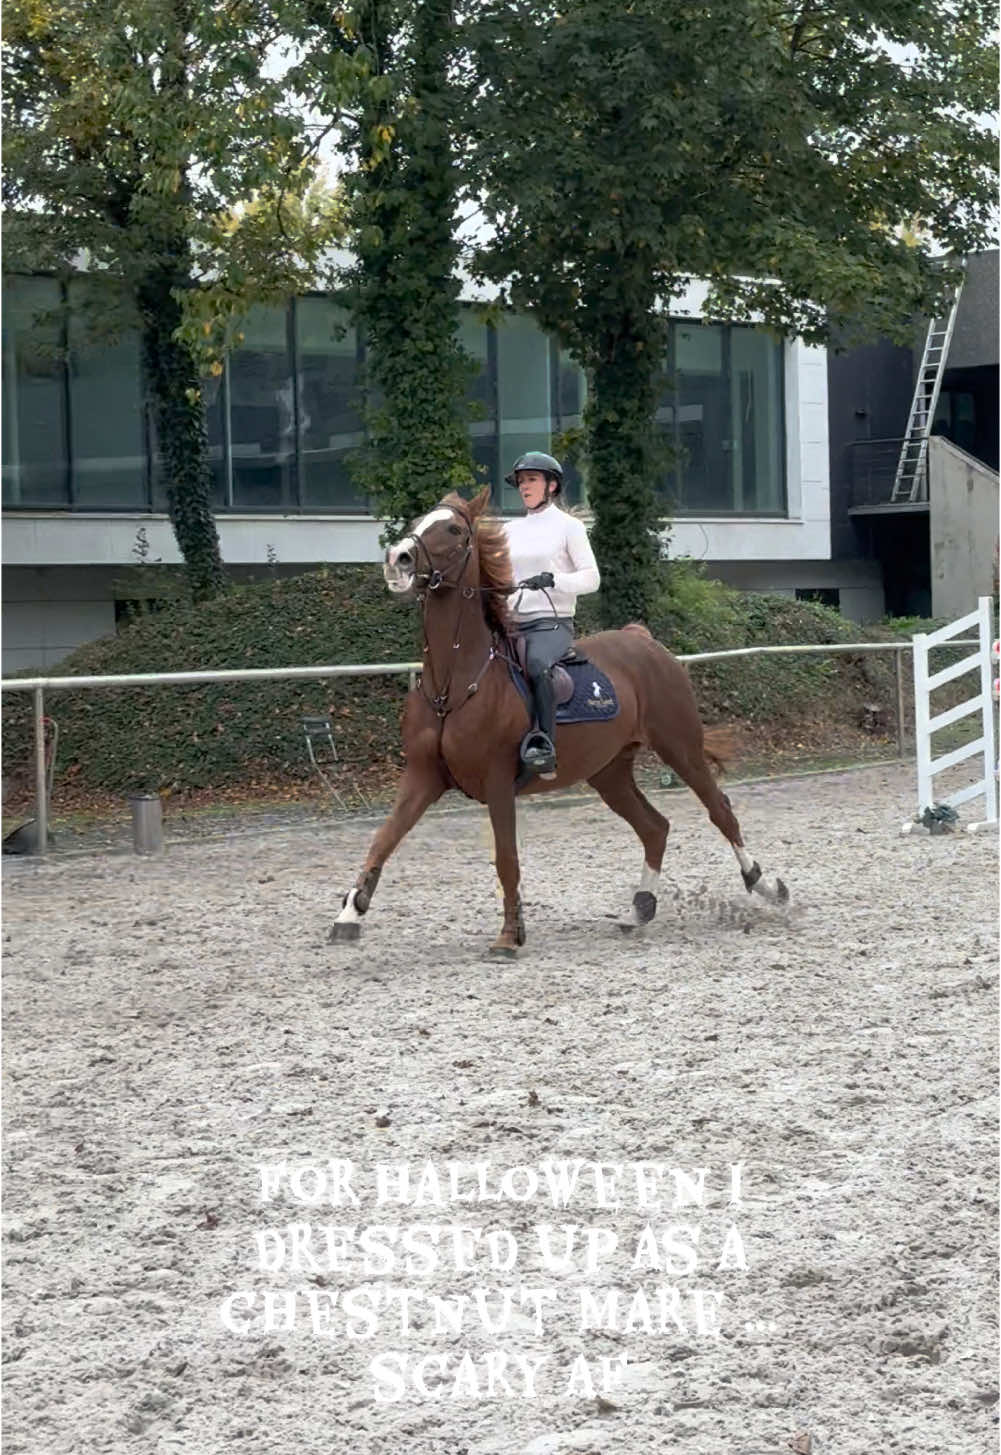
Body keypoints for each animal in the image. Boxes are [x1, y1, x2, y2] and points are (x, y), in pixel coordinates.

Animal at [330, 486, 788, 956]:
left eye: (454, 529)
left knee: (720, 811)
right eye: (418, 521)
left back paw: (766, 886)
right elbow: (383, 839)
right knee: (655, 827)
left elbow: (506, 858)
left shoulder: (497, 781)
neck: (452, 686)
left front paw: (510, 935)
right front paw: (349, 914)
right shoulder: (423, 776)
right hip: (609, 772)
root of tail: (644, 640)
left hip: (680, 747)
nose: (397, 559)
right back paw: (640, 908)